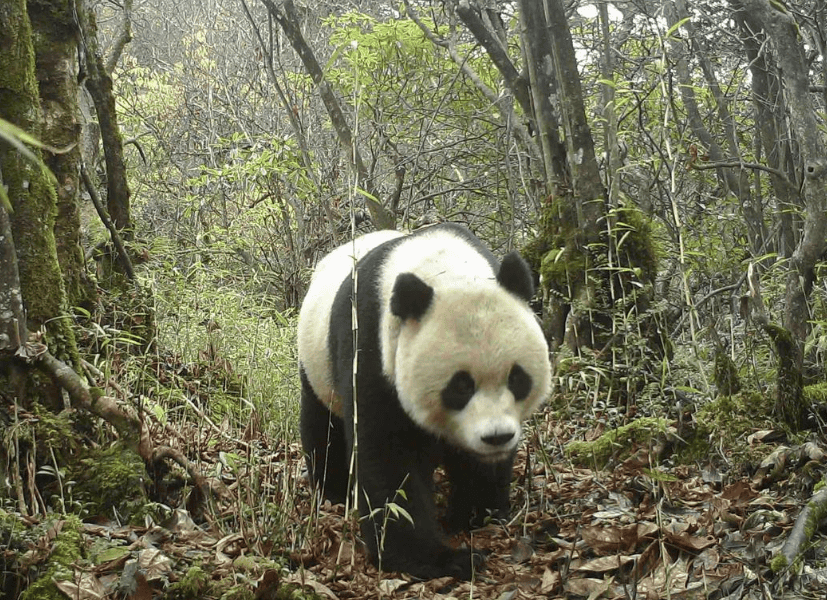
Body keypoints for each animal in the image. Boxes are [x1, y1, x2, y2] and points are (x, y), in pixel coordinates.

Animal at [296, 223, 548, 580]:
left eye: (517, 378)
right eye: (460, 386)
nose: (497, 436)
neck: (445, 270)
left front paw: (475, 513)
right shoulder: (371, 348)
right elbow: (388, 456)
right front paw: (440, 558)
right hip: (316, 361)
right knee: (322, 425)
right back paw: (334, 492)